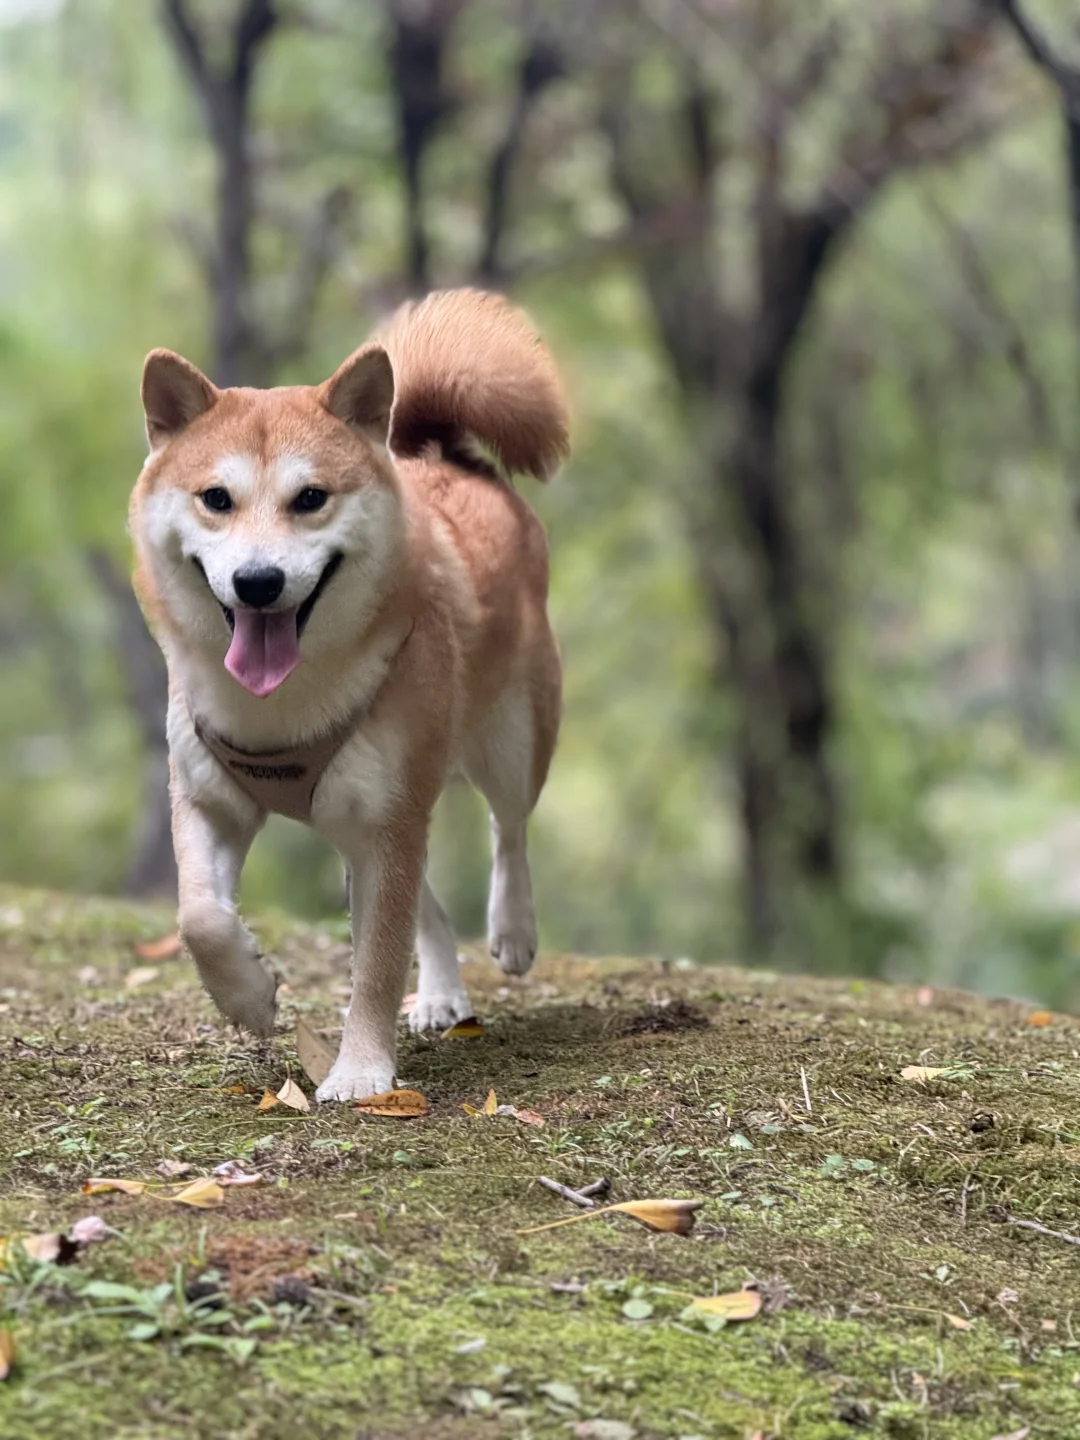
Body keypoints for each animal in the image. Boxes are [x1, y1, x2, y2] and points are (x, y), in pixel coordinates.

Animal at [128, 289, 569, 1101]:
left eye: (310, 498)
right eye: (216, 499)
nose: (258, 582)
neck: (281, 707)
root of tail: (447, 458)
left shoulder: (387, 824)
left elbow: (377, 962)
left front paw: (362, 1072)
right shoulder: (209, 799)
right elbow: (200, 917)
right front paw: (249, 995)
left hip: (506, 744)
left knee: (510, 830)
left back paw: (513, 929)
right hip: (367, 813)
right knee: (430, 894)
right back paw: (441, 993)